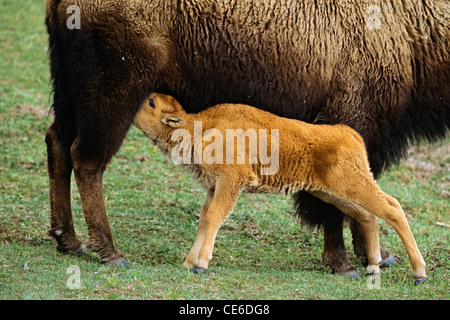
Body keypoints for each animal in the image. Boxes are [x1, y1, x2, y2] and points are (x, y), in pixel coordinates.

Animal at [133, 93, 426, 284]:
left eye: (152, 102)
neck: (202, 126)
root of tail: (348, 133)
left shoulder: (230, 183)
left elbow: (215, 217)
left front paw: (201, 265)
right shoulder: (213, 188)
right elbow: (204, 219)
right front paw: (188, 262)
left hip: (352, 186)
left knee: (392, 208)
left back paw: (419, 274)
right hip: (333, 193)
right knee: (368, 216)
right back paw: (373, 267)